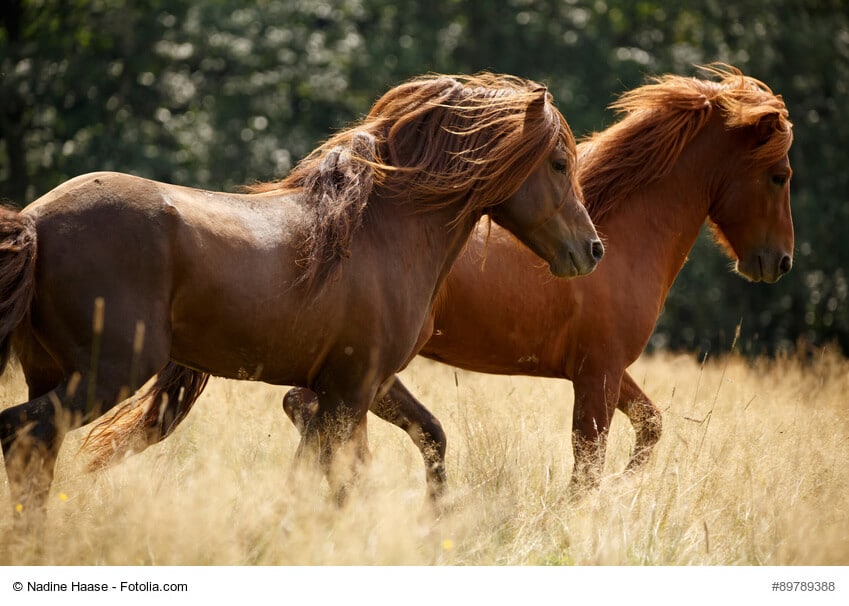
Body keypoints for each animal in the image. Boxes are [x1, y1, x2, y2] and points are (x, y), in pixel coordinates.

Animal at [0, 73, 604, 517]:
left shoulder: (365, 383)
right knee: (21, 434)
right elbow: (331, 476)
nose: (591, 250)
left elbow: (424, 439)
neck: (385, 229)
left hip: (52, 372)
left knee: (33, 452)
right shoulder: (350, 389)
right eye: (558, 163)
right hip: (106, 374)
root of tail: (35, 221)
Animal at [279, 64, 795, 498]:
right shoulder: (598, 373)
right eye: (780, 176)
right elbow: (588, 469)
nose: (781, 262)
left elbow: (650, 426)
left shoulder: (605, 370)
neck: (623, 235)